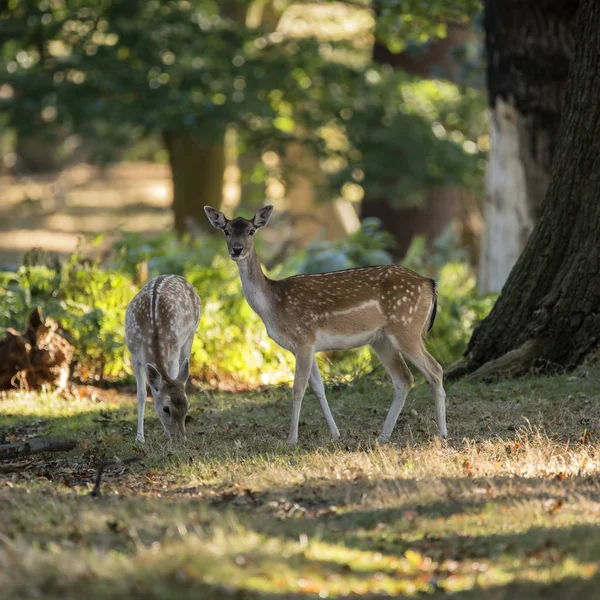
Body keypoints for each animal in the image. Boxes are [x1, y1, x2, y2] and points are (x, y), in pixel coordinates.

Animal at [126, 276, 202, 440]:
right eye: (166, 409)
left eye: (188, 406)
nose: (181, 438)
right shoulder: (134, 356)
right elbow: (141, 395)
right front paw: (140, 437)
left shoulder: (173, 353)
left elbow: (172, 377)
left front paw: (166, 434)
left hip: (191, 332)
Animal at [206, 206, 446, 446]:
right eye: (226, 231)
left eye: (251, 231)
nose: (237, 249)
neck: (273, 307)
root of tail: (430, 283)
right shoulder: (305, 346)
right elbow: (318, 387)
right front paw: (335, 433)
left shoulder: (304, 337)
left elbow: (298, 388)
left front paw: (291, 439)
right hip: (381, 339)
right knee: (404, 378)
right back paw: (383, 436)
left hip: (406, 328)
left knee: (435, 369)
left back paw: (442, 433)